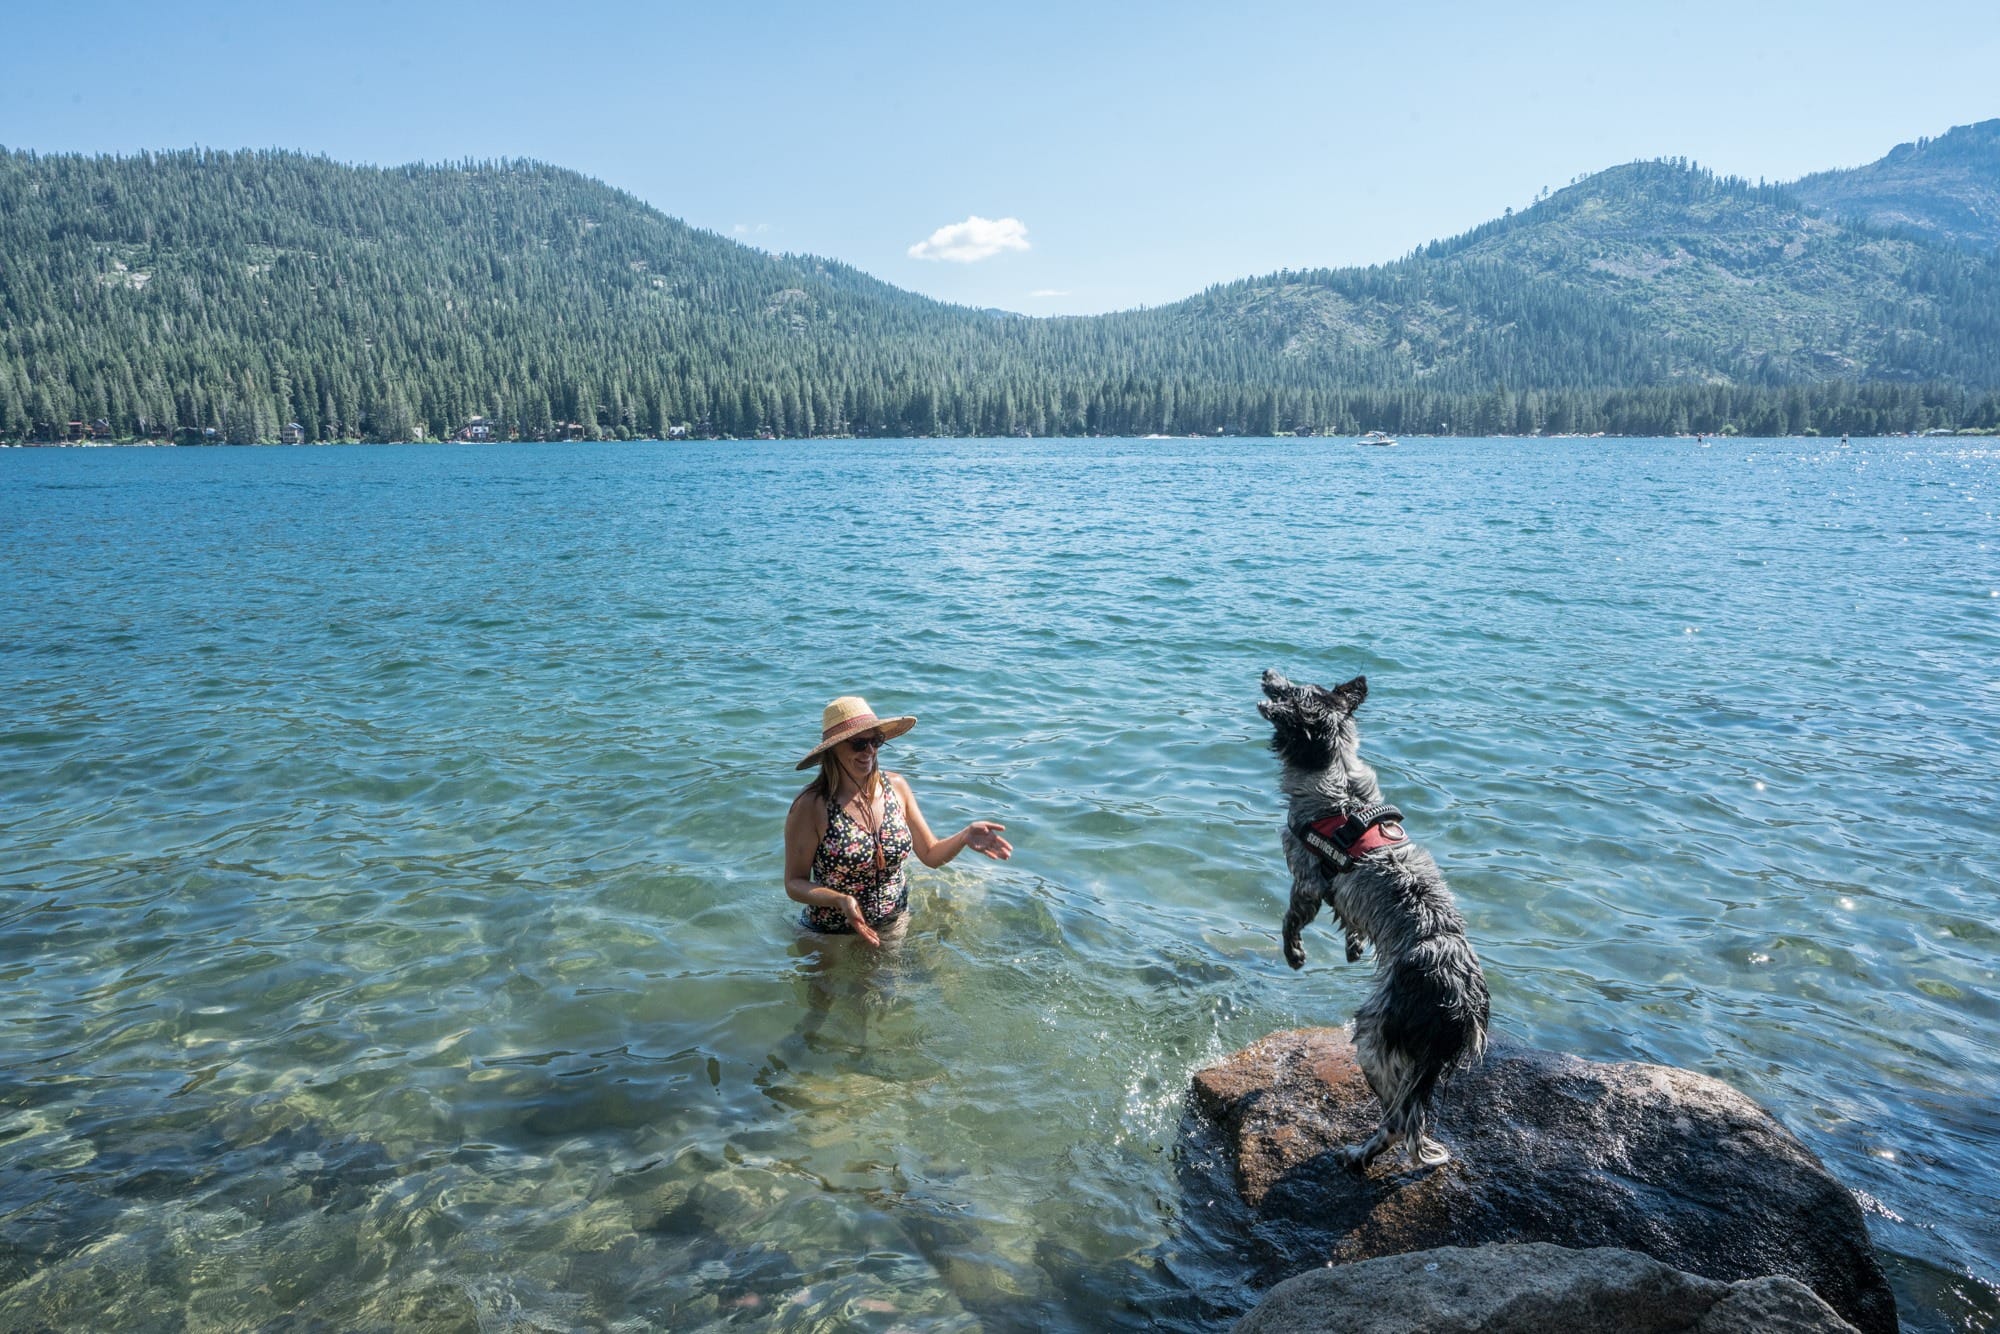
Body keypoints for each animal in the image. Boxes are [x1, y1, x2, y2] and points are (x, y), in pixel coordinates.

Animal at [1264, 668, 1488, 1168]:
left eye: (1289, 689)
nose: (1266, 672)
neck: (1338, 779)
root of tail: (1461, 1002)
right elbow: (1351, 925)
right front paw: (1352, 947)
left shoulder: (1307, 879)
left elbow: (1291, 919)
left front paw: (1294, 954)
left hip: (1373, 1037)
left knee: (1400, 1120)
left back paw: (1358, 1153)